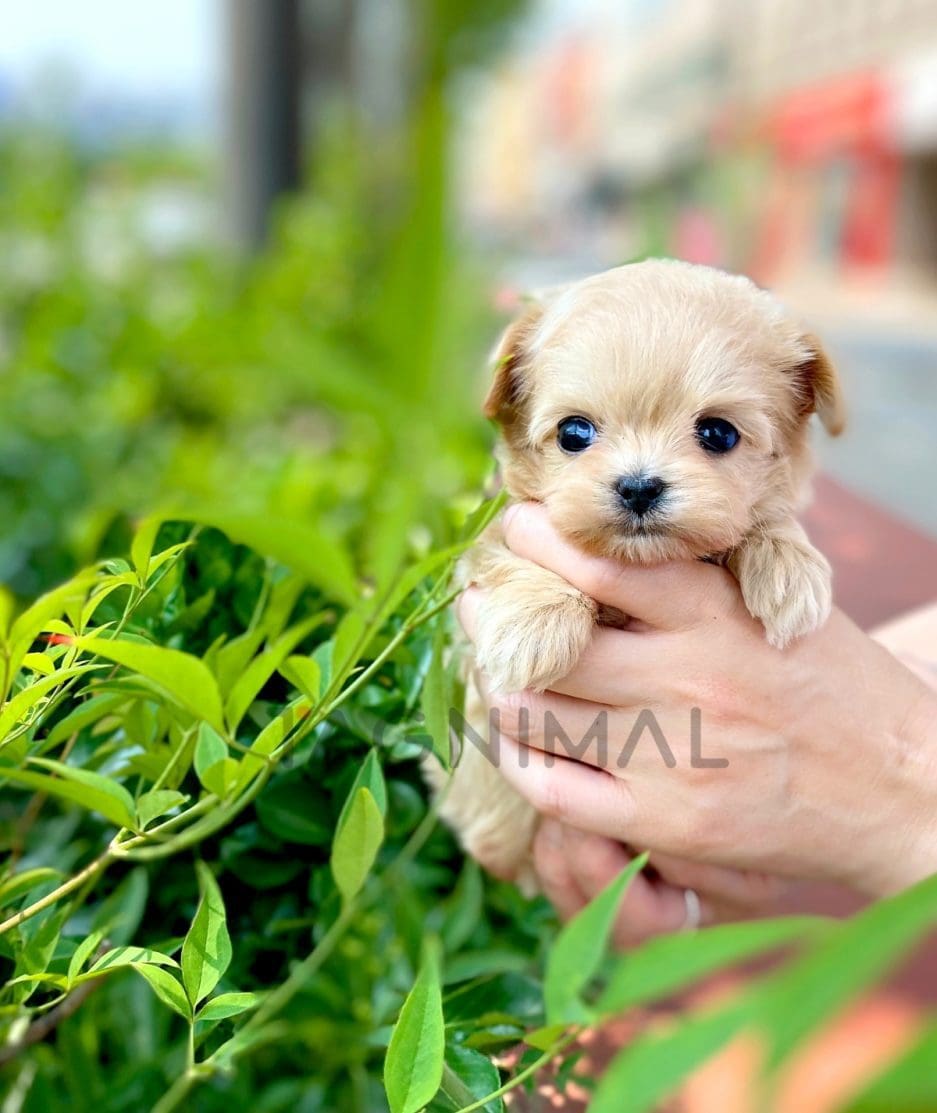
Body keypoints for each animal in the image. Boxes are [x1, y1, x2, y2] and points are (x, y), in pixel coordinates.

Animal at [434, 260, 841, 885]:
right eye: (574, 433)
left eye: (718, 433)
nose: (639, 486)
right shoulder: (491, 532)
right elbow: (507, 552)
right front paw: (533, 626)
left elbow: (764, 521)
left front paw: (788, 566)